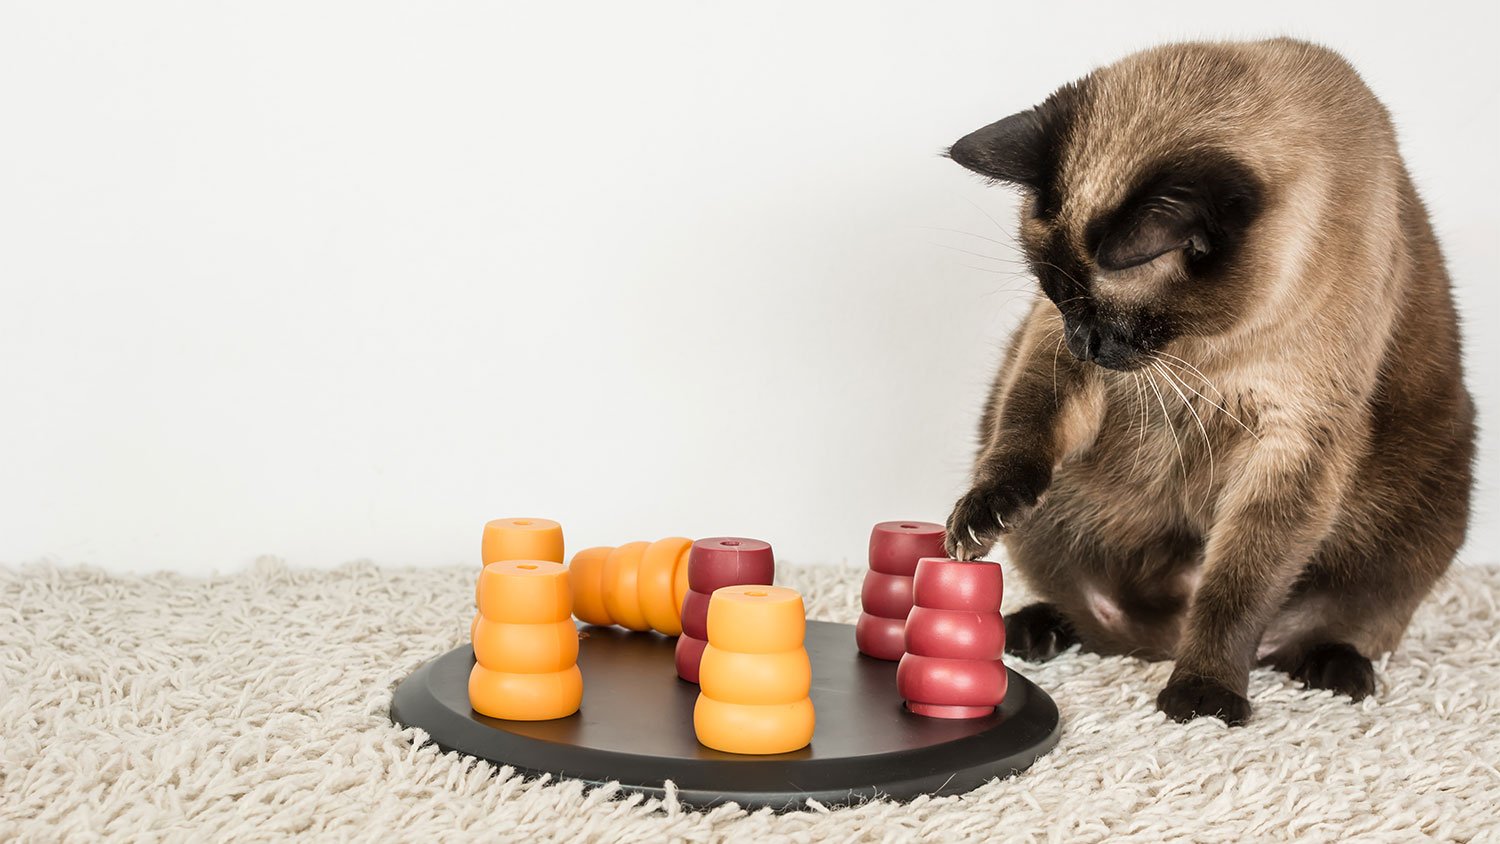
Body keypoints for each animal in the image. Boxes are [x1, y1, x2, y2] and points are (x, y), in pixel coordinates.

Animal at [942, 38, 1470, 725]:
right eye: (1056, 298)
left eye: (1112, 317)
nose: (1086, 342)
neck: (1210, 348)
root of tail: (1168, 633)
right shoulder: (1052, 359)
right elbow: (1022, 439)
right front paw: (980, 516)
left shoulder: (1291, 441)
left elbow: (1233, 594)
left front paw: (1204, 698)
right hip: (1053, 517)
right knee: (1099, 622)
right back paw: (1033, 631)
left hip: (1420, 515)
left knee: (1324, 627)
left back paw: (1337, 672)